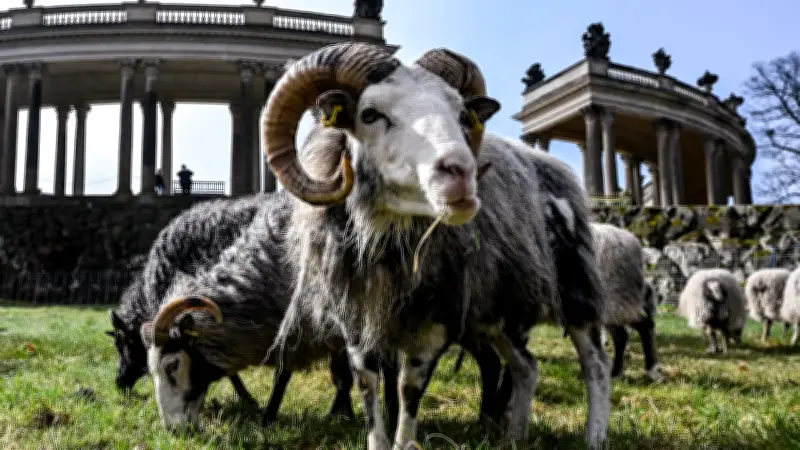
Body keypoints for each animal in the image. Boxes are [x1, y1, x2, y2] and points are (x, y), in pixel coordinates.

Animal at [138, 190, 402, 430]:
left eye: (172, 365)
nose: (173, 430)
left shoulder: (309, 322)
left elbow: (287, 375)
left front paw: (269, 418)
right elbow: (336, 374)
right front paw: (341, 414)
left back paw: (393, 415)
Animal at [261, 42, 610, 450]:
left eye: (461, 115)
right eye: (369, 114)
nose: (462, 173)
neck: (389, 244)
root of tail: (553, 166)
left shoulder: (438, 315)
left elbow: (408, 389)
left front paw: (403, 441)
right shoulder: (355, 317)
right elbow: (367, 385)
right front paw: (377, 439)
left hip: (574, 287)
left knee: (596, 363)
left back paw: (594, 438)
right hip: (499, 307)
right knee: (526, 366)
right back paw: (513, 437)